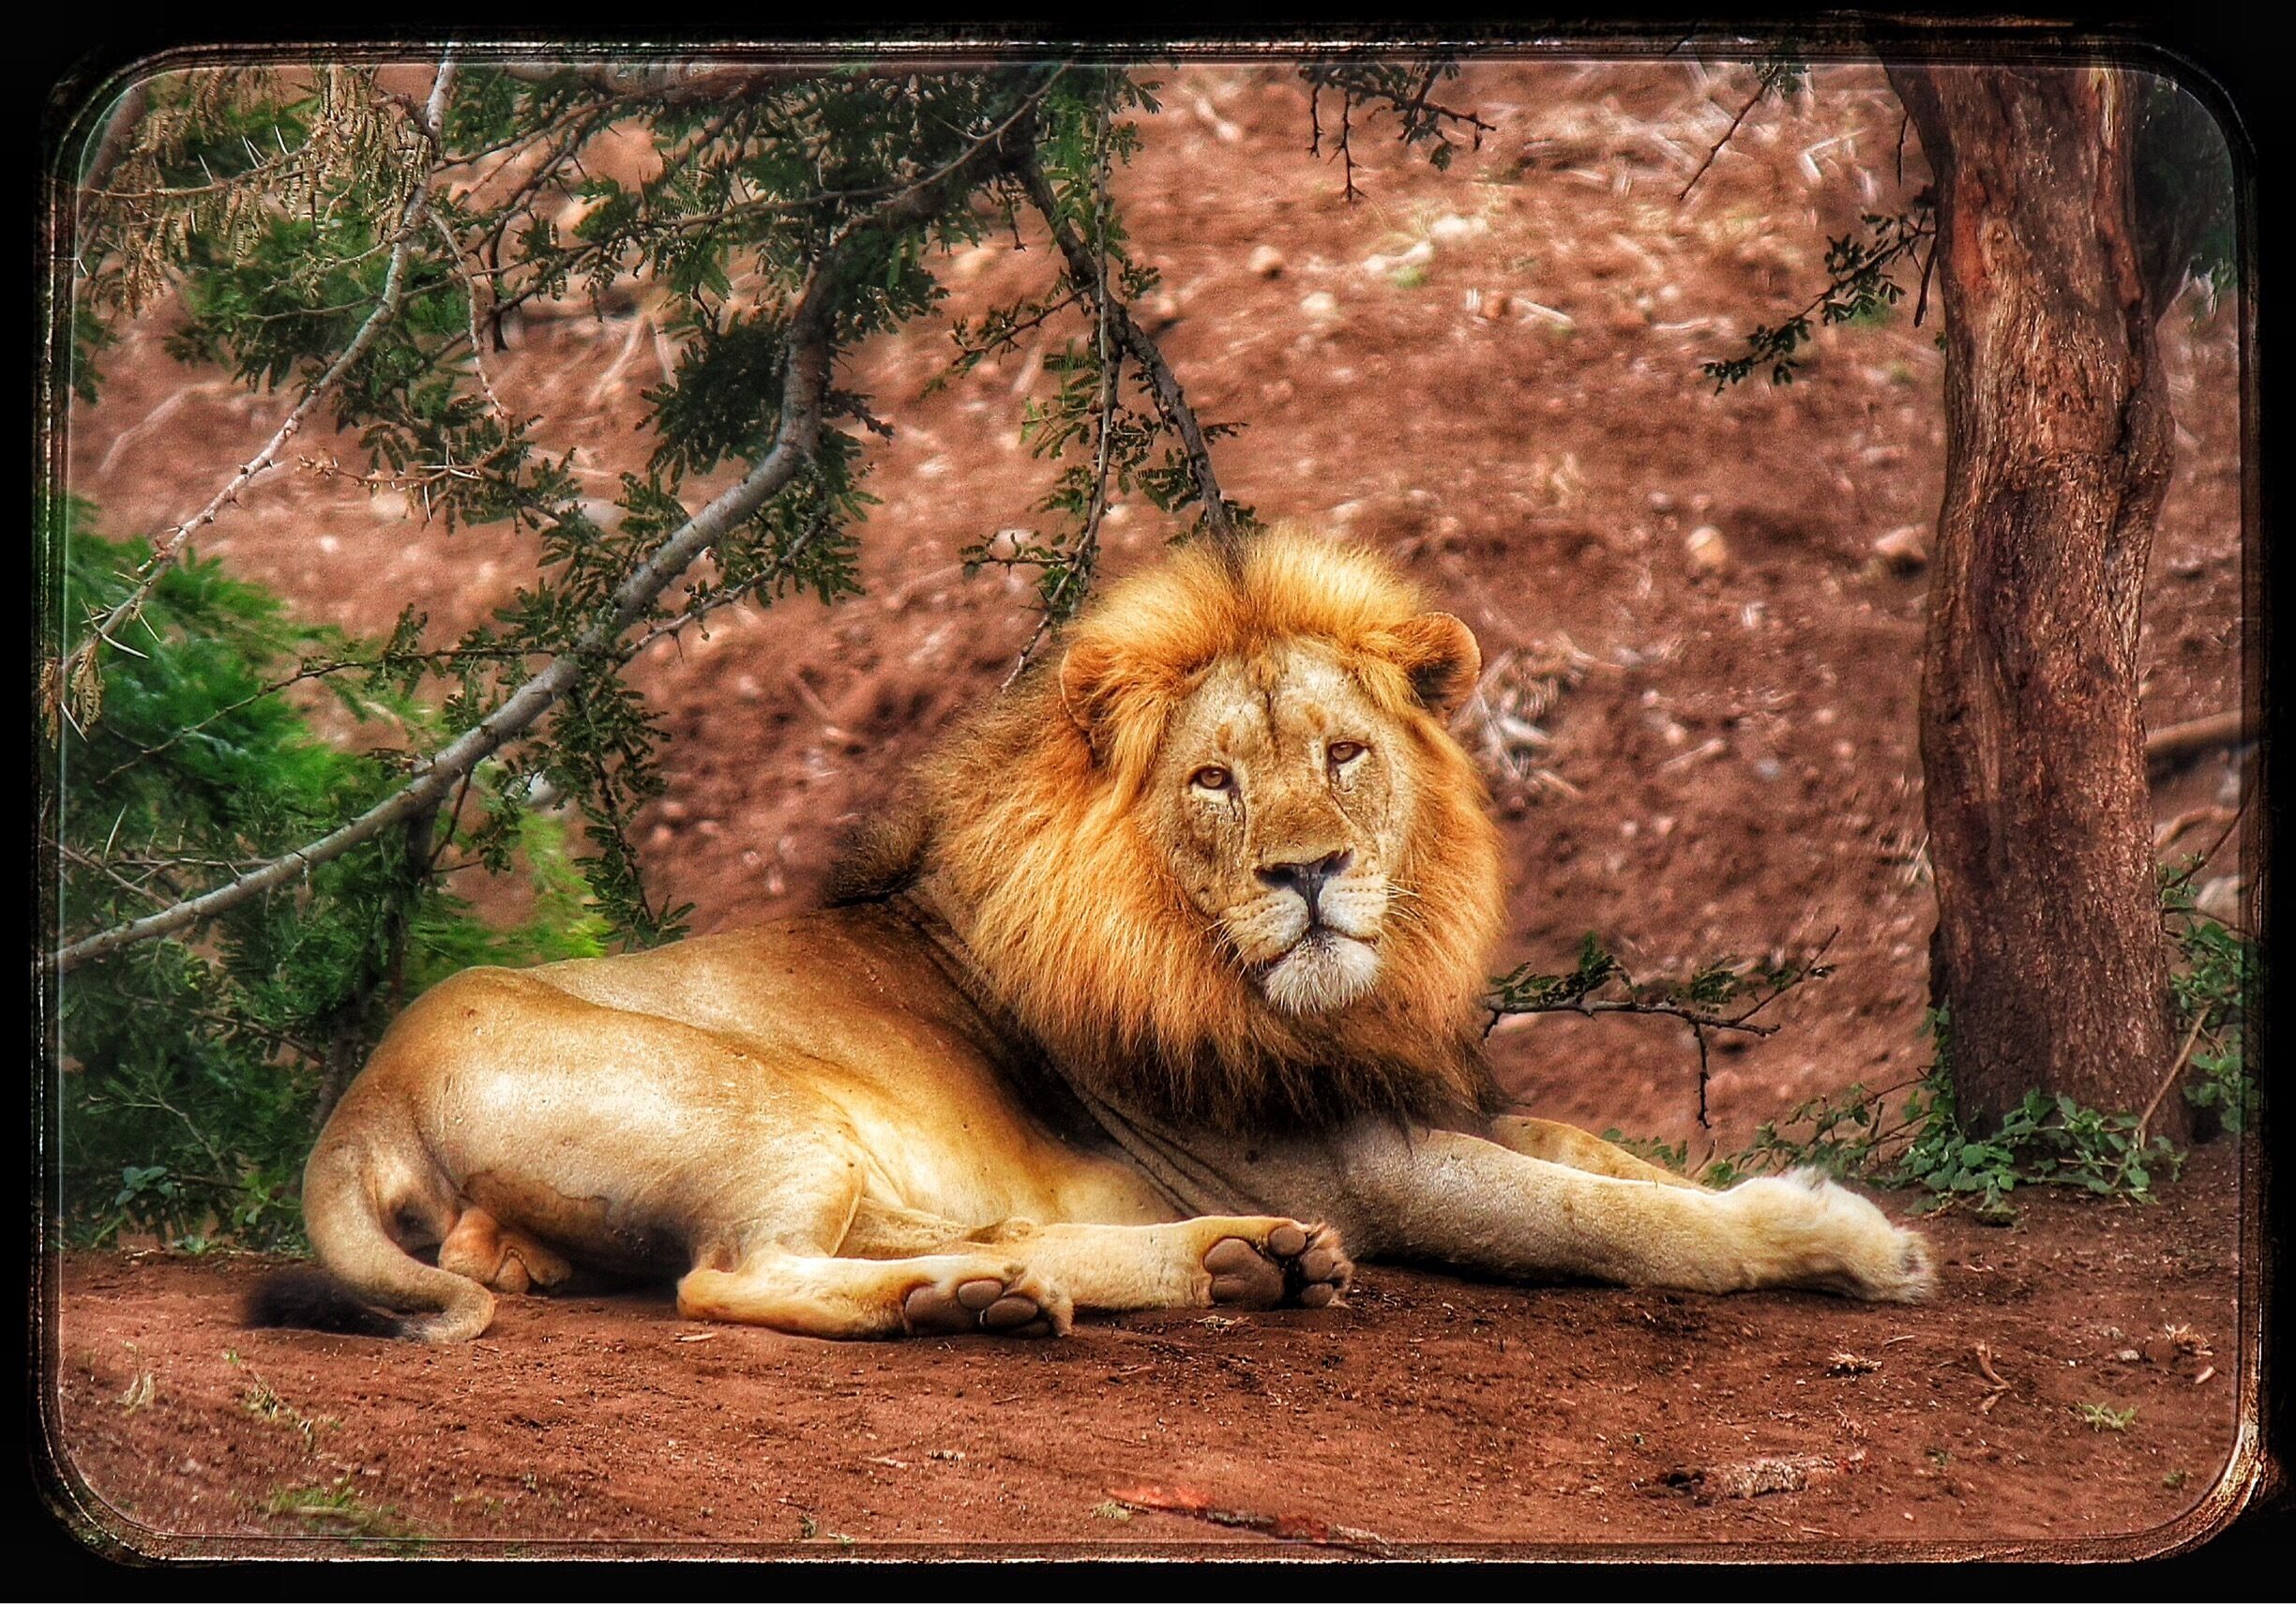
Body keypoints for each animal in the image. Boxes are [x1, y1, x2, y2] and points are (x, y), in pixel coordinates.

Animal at [258, 526, 1933, 1344]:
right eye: (1213, 780)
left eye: (1345, 754)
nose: (1310, 874)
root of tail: (364, 1093)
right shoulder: (1368, 1167)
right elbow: (1626, 1221)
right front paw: (1841, 1242)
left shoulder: (1394, 1104)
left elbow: (1607, 1152)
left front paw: (1830, 1206)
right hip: (764, 1107)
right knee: (735, 1279)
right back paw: (985, 1305)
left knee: (960, 1232)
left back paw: (1218, 1265)